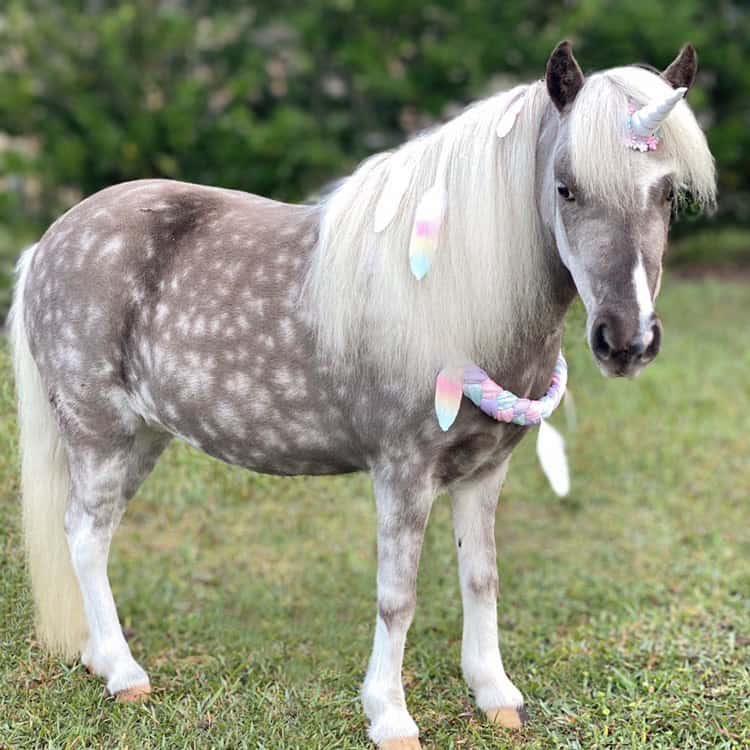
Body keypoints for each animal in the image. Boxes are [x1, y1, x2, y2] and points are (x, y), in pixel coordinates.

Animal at [9, 41, 715, 748]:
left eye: (666, 192)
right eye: (566, 188)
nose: (626, 339)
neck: (454, 294)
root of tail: (48, 241)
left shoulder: (484, 472)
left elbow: (481, 578)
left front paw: (494, 693)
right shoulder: (403, 474)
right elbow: (397, 597)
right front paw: (390, 714)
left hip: (142, 439)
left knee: (93, 536)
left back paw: (101, 657)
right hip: (100, 435)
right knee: (84, 536)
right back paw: (124, 672)